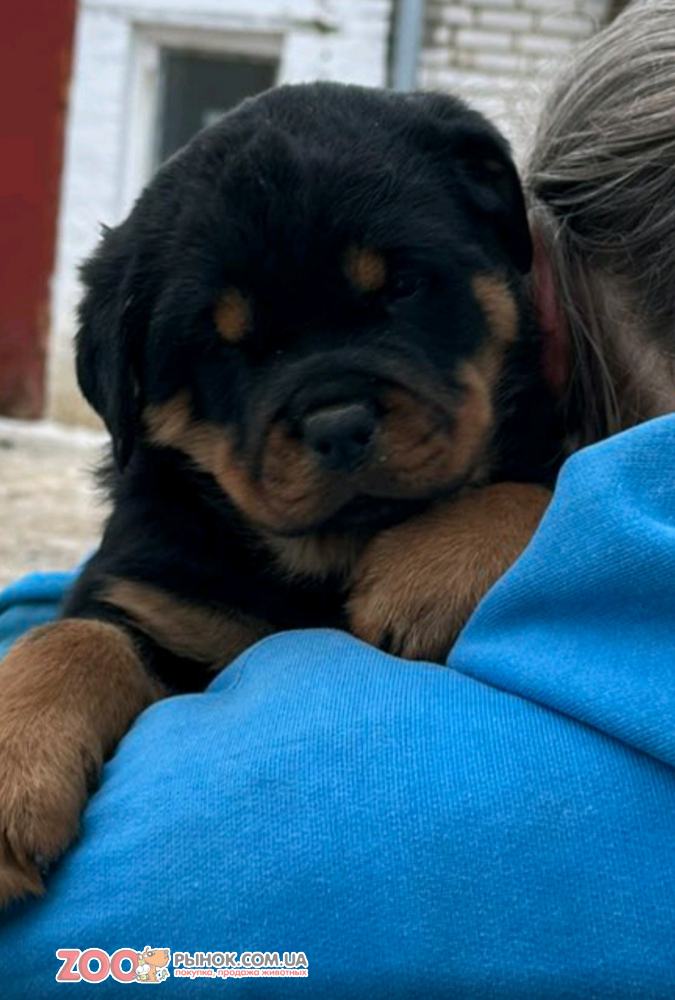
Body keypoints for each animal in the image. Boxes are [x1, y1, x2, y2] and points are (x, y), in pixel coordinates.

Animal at [0, 83, 560, 905]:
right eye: (221, 343)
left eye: (401, 285)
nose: (338, 423)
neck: (320, 561)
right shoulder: (156, 604)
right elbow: (69, 638)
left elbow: (545, 479)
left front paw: (428, 571)